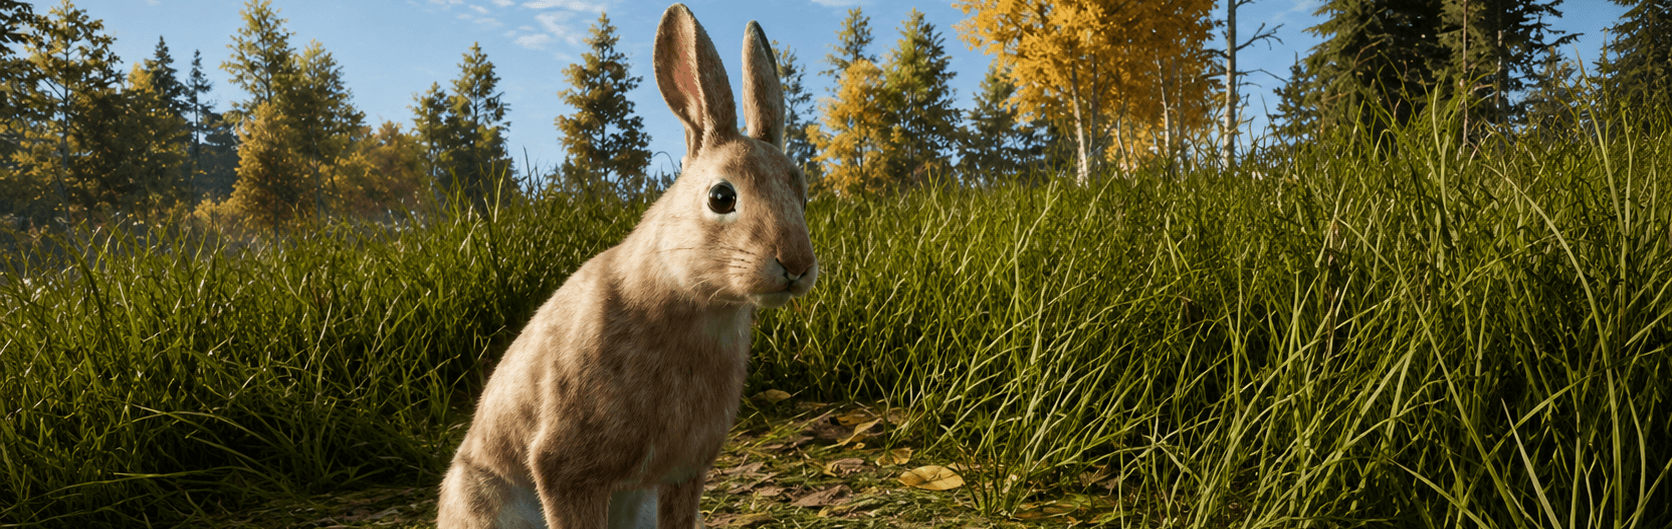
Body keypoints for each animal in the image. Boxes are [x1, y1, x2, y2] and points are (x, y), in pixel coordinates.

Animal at [435, 4, 815, 529]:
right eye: (721, 197)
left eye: (803, 195)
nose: (797, 264)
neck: (692, 302)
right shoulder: (566, 469)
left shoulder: (682, 473)